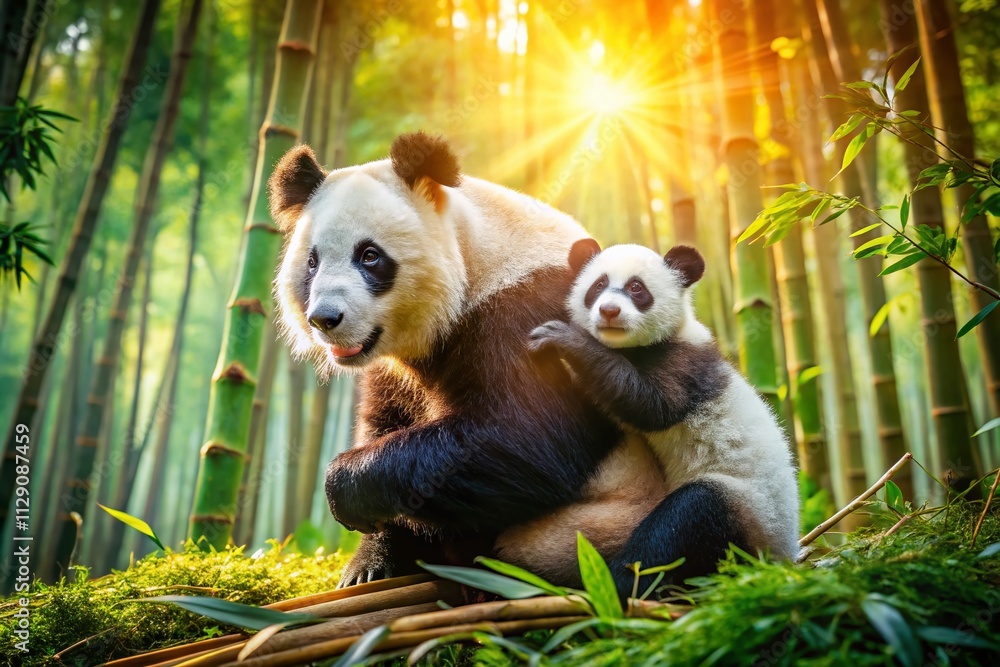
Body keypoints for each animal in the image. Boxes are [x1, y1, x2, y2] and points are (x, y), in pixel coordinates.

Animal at [499, 239, 800, 593]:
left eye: (636, 288)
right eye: (598, 285)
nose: (609, 311)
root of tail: (784, 556)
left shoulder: (684, 364)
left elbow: (651, 405)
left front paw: (566, 340)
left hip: (749, 509)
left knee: (684, 519)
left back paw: (618, 583)